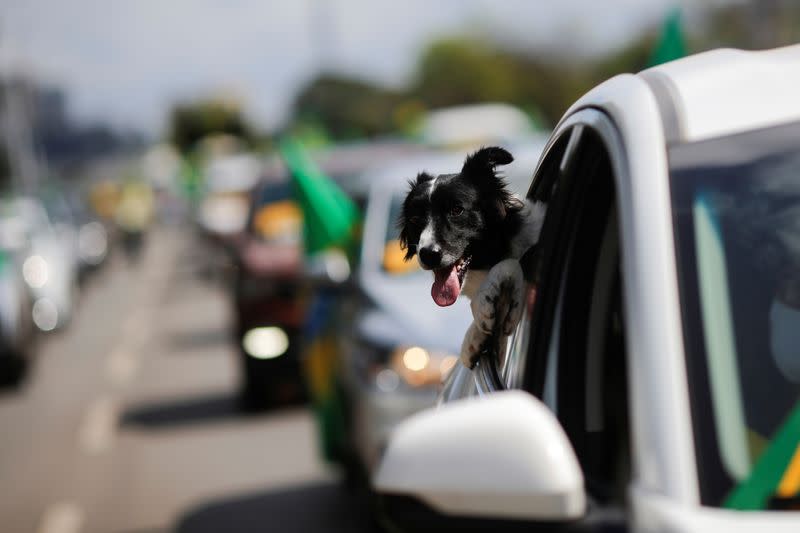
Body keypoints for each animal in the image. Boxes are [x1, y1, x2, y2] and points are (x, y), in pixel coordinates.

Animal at [398, 148, 544, 368]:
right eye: (415, 219)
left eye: (456, 210)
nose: (428, 255)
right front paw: (474, 337)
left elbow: (513, 263)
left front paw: (482, 304)